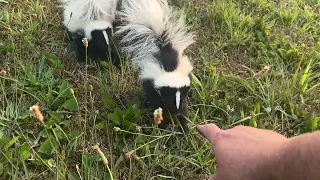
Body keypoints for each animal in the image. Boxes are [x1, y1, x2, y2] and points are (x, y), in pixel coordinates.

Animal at [115, 0, 195, 133]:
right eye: (169, 99)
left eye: (182, 100)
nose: (176, 112)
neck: (170, 71)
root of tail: (162, 45)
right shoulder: (155, 91)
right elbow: (159, 107)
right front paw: (163, 127)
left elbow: (185, 113)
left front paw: (185, 129)